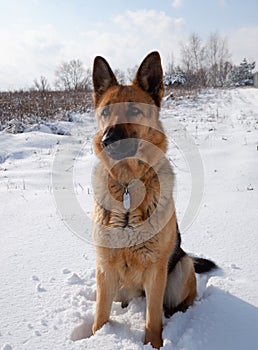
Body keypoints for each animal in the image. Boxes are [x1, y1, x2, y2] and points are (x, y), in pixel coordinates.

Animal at [90, 52, 216, 350]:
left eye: (135, 110)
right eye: (105, 112)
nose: (108, 140)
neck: (127, 187)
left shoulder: (156, 271)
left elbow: (153, 319)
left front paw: (154, 343)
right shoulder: (105, 270)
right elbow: (99, 317)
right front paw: (96, 338)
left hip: (181, 267)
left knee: (178, 302)